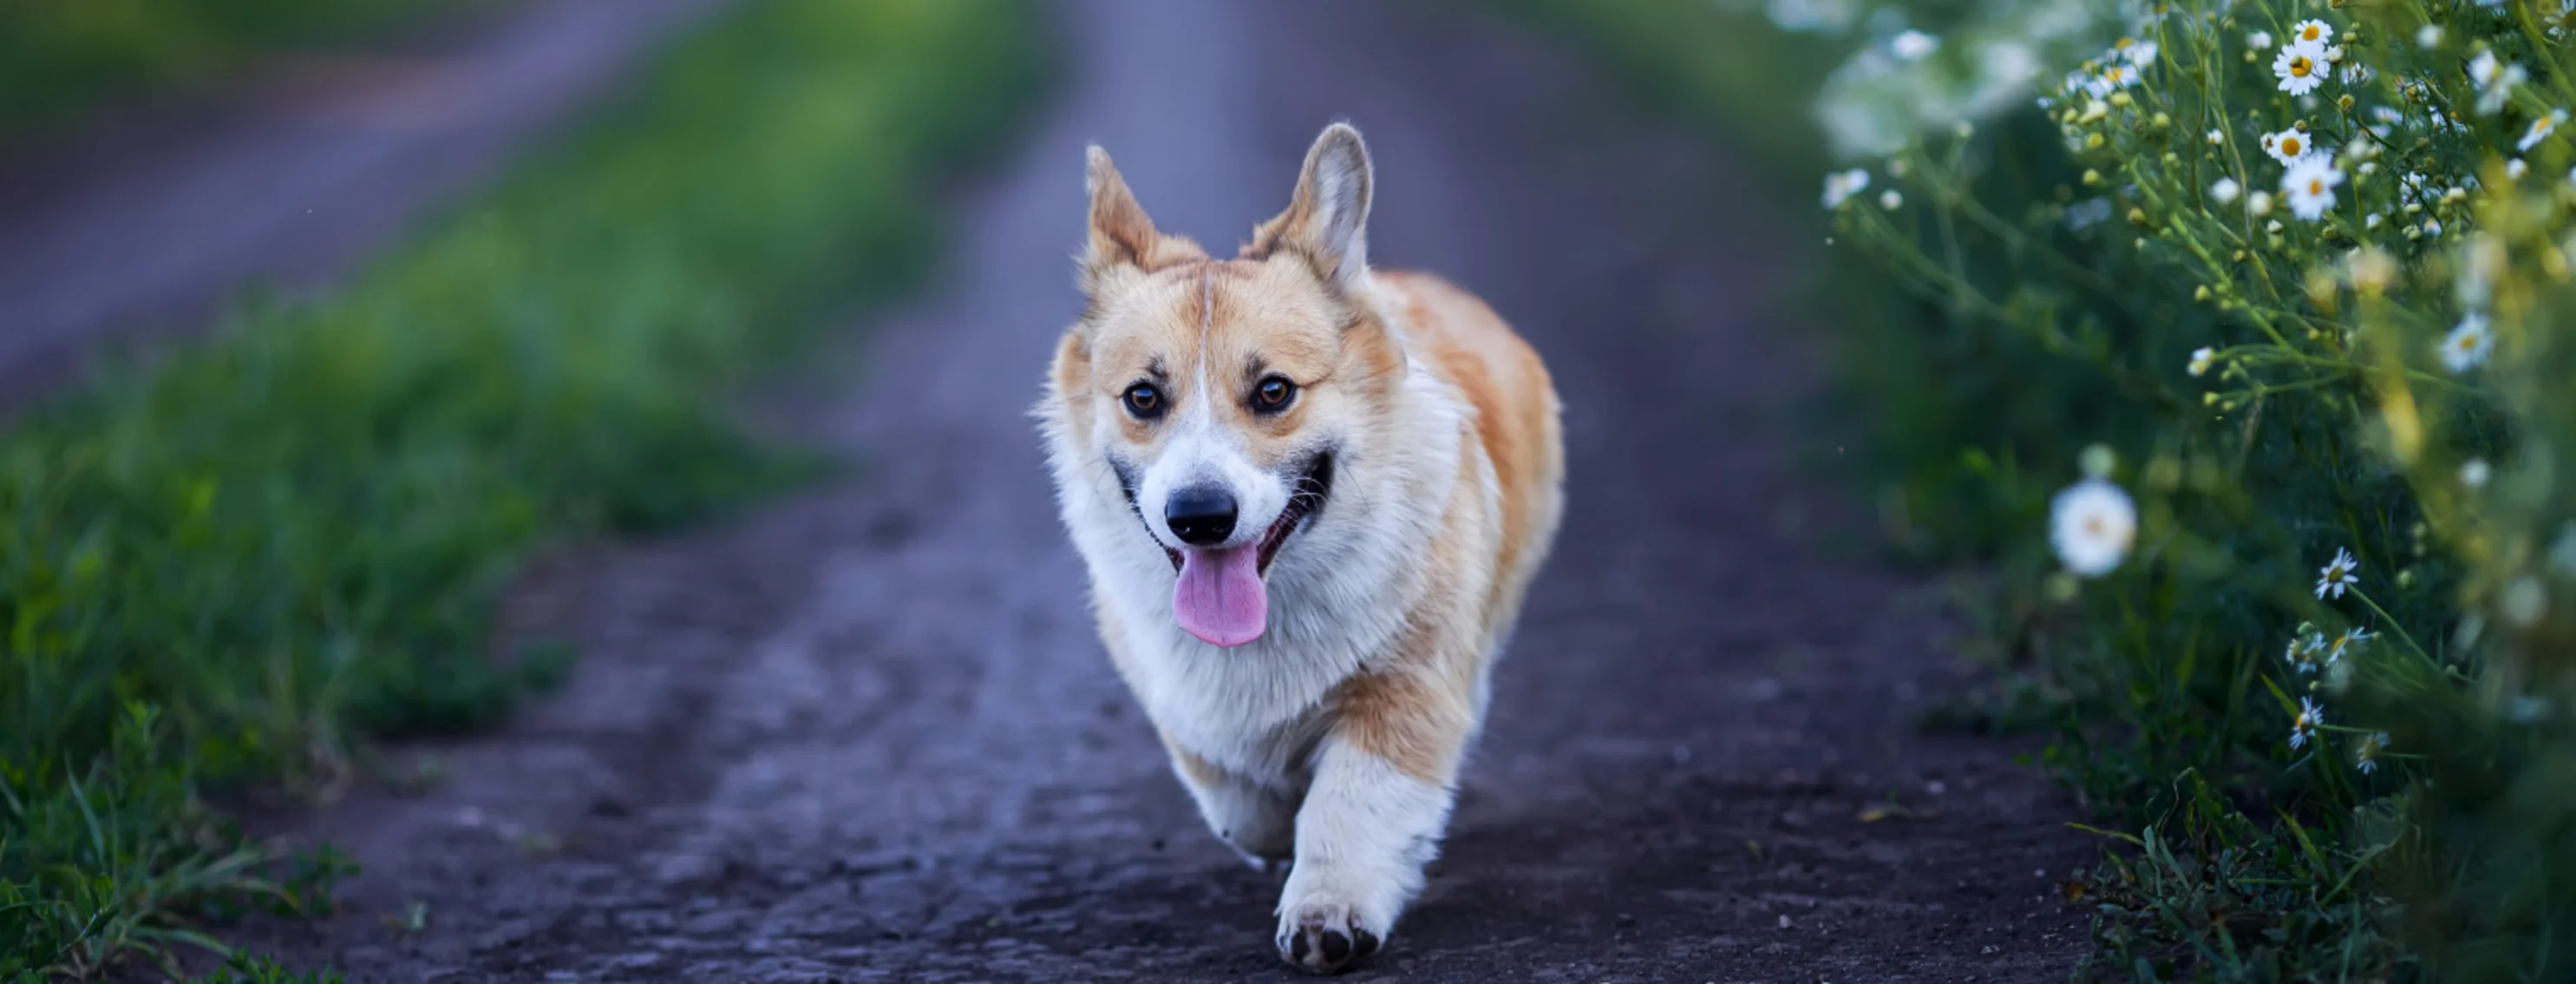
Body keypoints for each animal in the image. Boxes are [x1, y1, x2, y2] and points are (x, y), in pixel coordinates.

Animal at [1030, 121, 1566, 968]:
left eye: (1274, 391)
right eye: (1143, 397)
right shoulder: (1180, 703)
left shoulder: (1403, 689)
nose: (1200, 516)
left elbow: (1350, 805)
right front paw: (1273, 829)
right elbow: (1236, 797)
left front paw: (1328, 912)